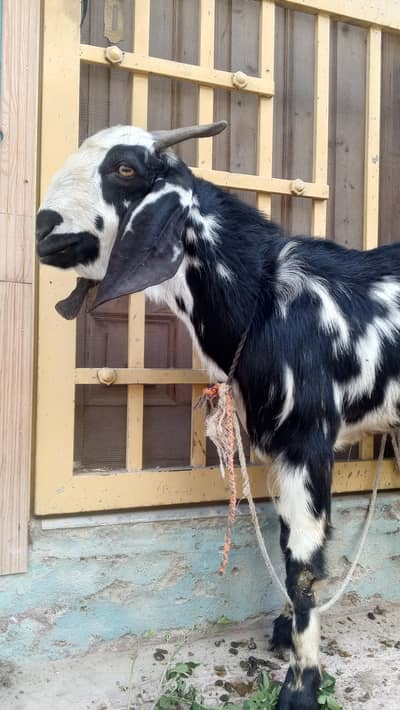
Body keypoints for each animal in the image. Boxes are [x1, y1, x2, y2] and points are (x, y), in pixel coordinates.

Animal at [36, 121, 400, 709]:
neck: (267, 298)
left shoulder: (306, 441)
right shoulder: (278, 448)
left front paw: (301, 686)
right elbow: (287, 544)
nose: (44, 229)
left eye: (125, 168)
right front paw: (285, 635)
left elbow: (302, 566)